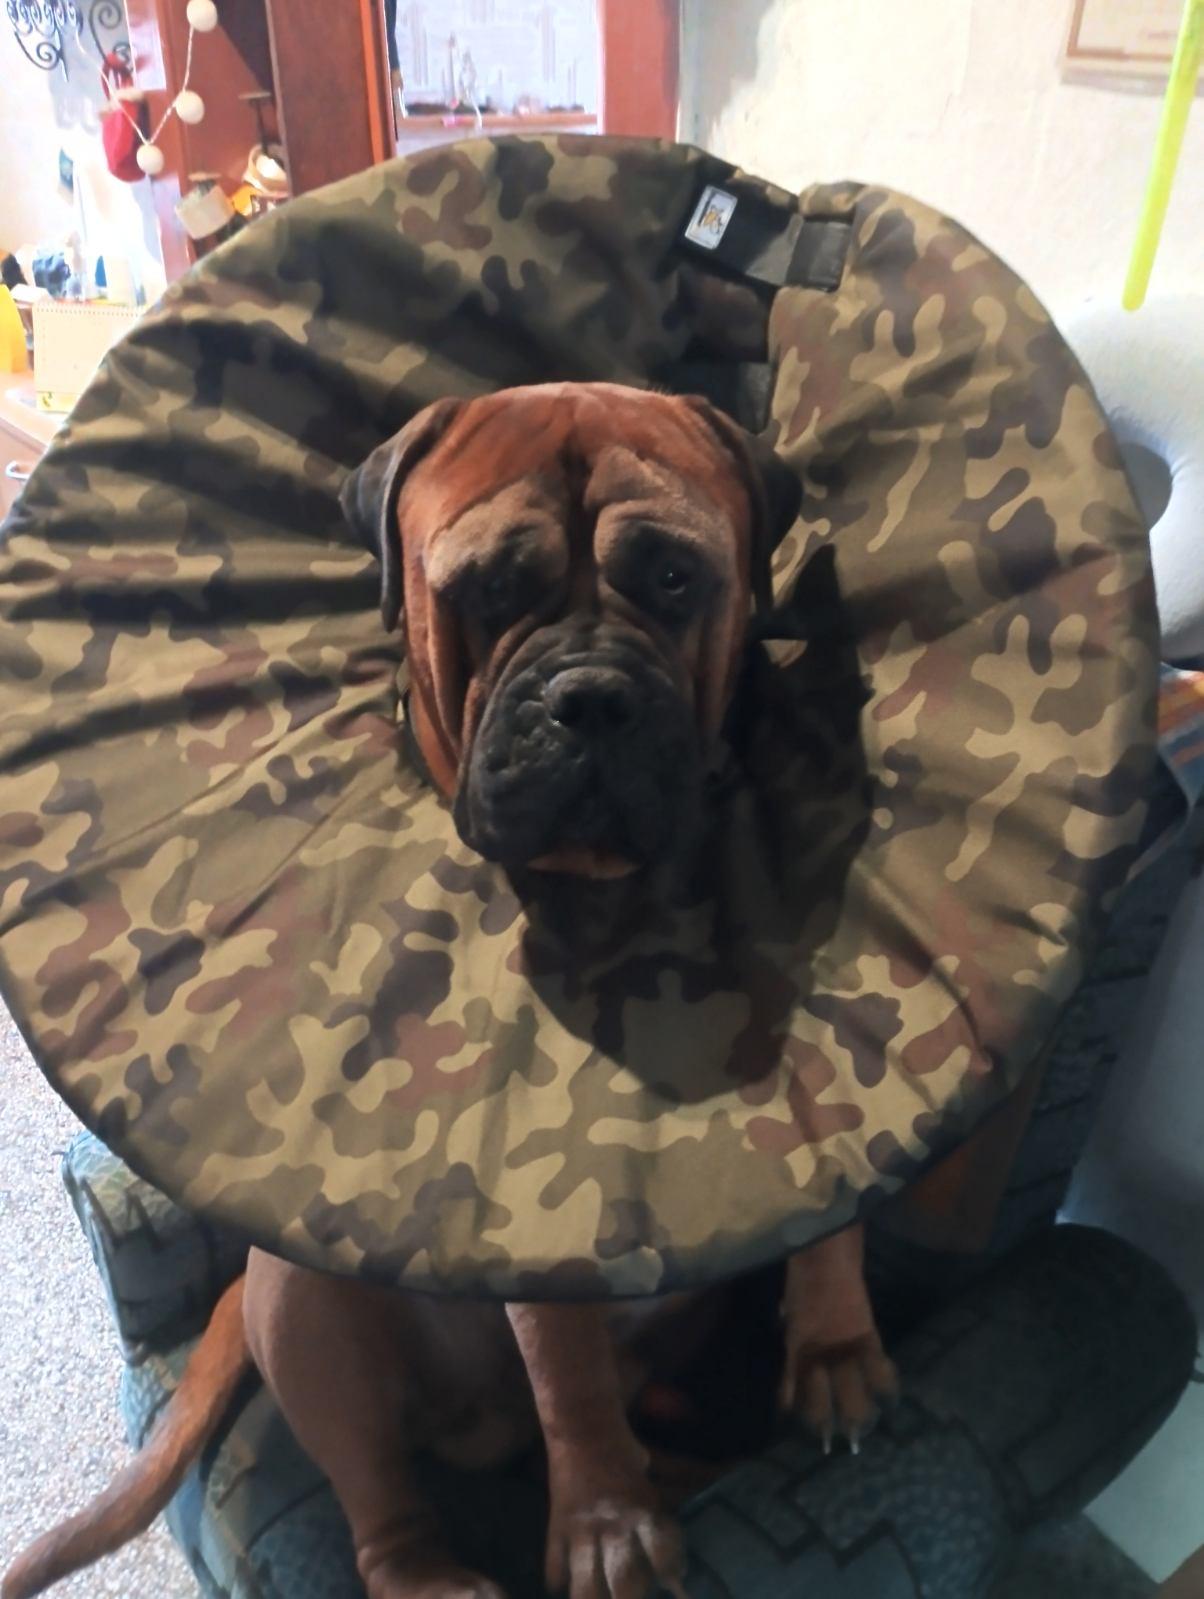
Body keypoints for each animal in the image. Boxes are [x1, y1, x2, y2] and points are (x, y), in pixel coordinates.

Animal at [3, 384, 898, 1599]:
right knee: (384, 1509)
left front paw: (834, 1339)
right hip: (309, 1311)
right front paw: (606, 1522)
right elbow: (566, 1361)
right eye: (487, 590)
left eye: (675, 577)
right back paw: (448, 1562)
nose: (590, 696)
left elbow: (840, 1178)